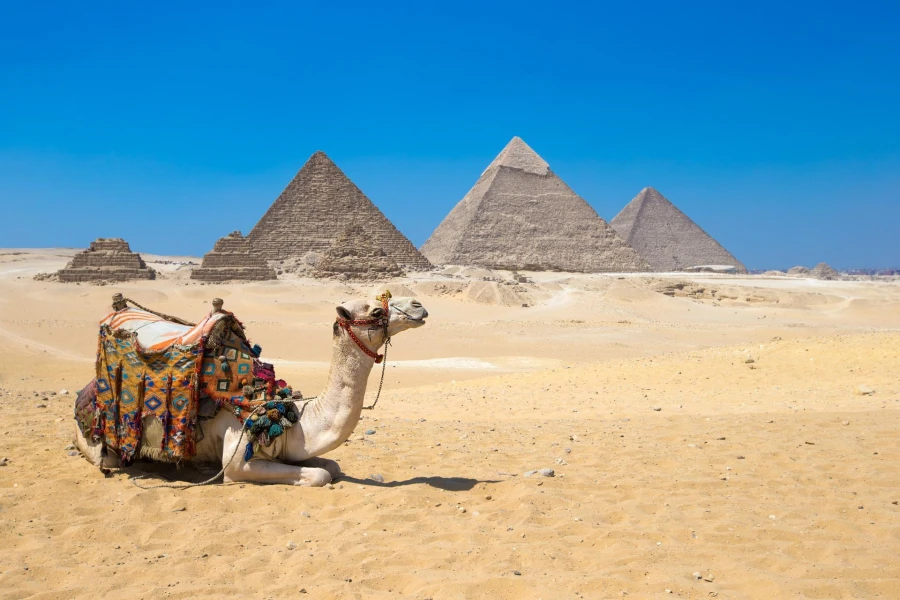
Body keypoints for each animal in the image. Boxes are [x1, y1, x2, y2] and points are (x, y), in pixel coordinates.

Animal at [73, 295, 428, 486]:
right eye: (376, 311)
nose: (419, 305)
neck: (290, 417)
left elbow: (331, 467)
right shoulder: (238, 459)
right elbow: (319, 475)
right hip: (100, 444)